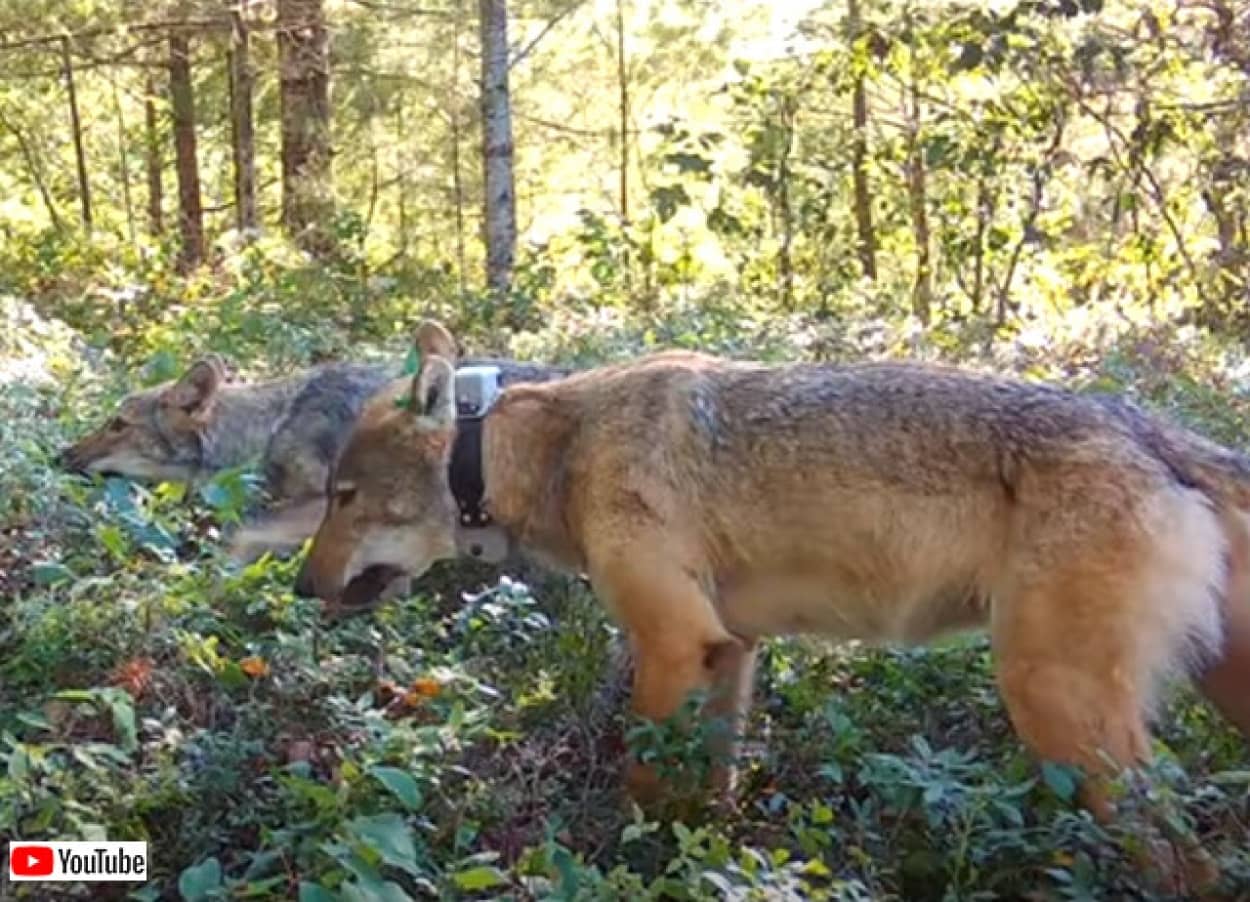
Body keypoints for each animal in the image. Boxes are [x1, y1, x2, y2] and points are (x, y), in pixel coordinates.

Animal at [295, 319, 1250, 889]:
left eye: (343, 498)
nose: (301, 589)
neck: (557, 449)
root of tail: (1151, 430)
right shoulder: (732, 651)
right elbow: (710, 799)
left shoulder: (673, 645)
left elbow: (640, 788)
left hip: (1059, 710)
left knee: (1188, 865)